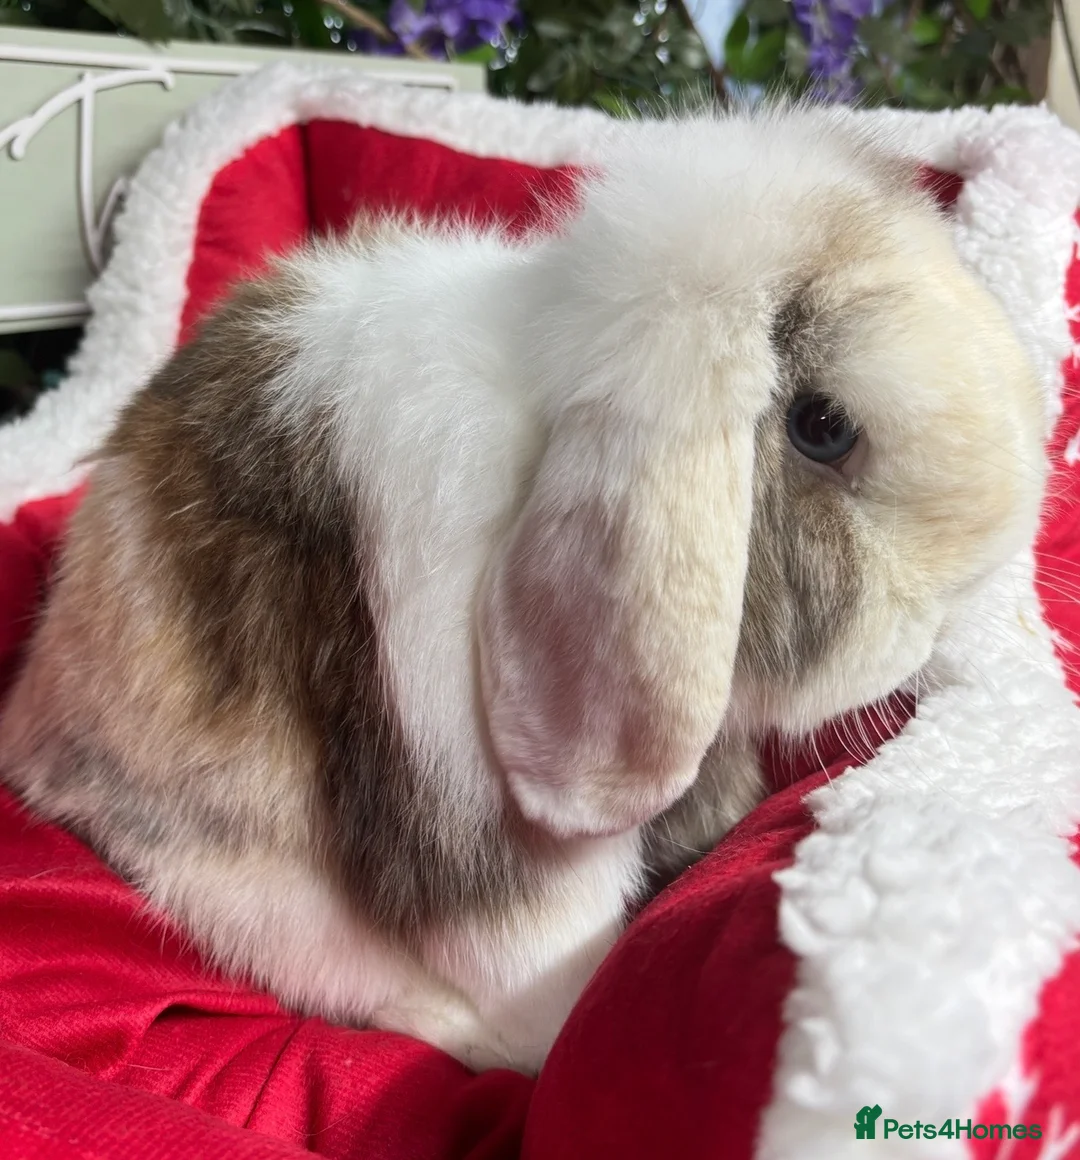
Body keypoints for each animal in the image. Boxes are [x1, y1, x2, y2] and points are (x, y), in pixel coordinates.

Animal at [0, 104, 1046, 1075]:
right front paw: (558, 1037)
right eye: (822, 427)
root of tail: (32, 717)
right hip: (230, 869)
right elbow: (540, 952)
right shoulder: (482, 829)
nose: (974, 590)